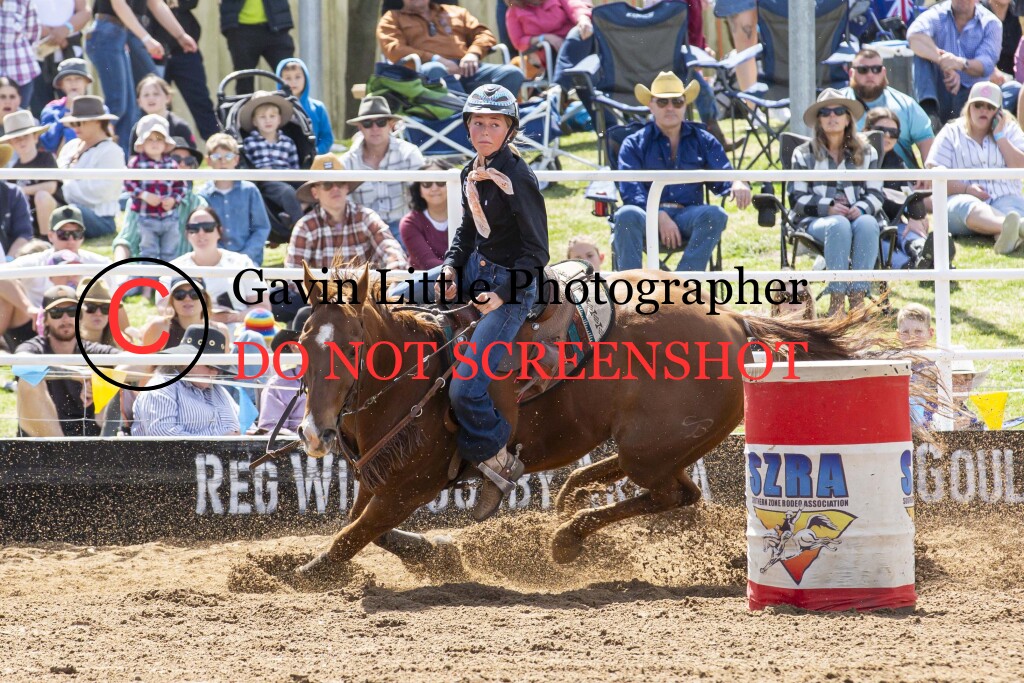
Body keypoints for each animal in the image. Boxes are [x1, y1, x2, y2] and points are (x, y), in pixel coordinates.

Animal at [290, 264, 888, 584]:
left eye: (351, 347)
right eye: (302, 341)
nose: (314, 435)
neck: (416, 373)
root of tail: (736, 323)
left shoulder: (411, 484)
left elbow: (350, 536)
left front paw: (302, 574)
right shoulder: (381, 481)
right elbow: (368, 528)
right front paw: (437, 551)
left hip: (654, 448)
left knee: (672, 495)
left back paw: (566, 539)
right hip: (661, 446)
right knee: (659, 487)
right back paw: (569, 505)